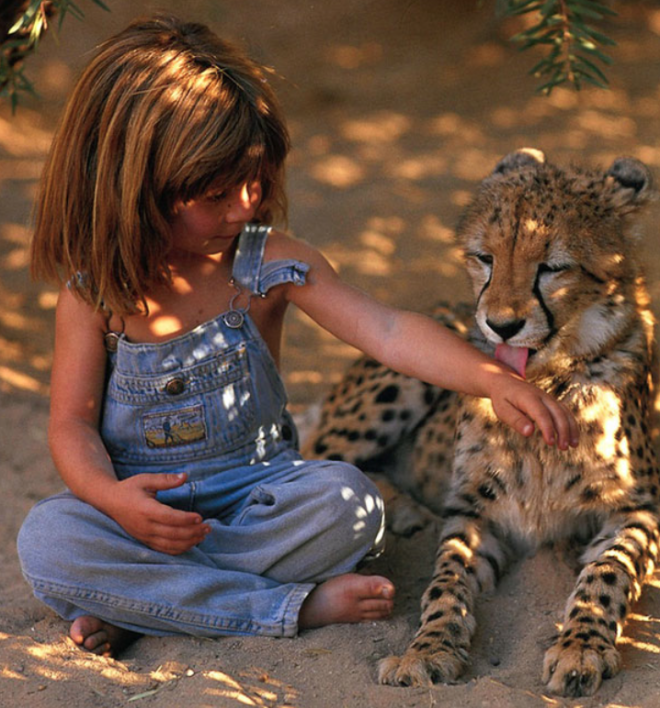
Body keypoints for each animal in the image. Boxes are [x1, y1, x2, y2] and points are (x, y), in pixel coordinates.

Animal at [304, 149, 660, 696]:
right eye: (485, 258)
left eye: (553, 267)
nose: (501, 325)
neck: (542, 387)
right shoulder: (473, 512)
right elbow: (445, 581)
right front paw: (427, 649)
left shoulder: (638, 510)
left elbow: (607, 571)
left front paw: (581, 646)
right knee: (316, 458)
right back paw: (403, 510)